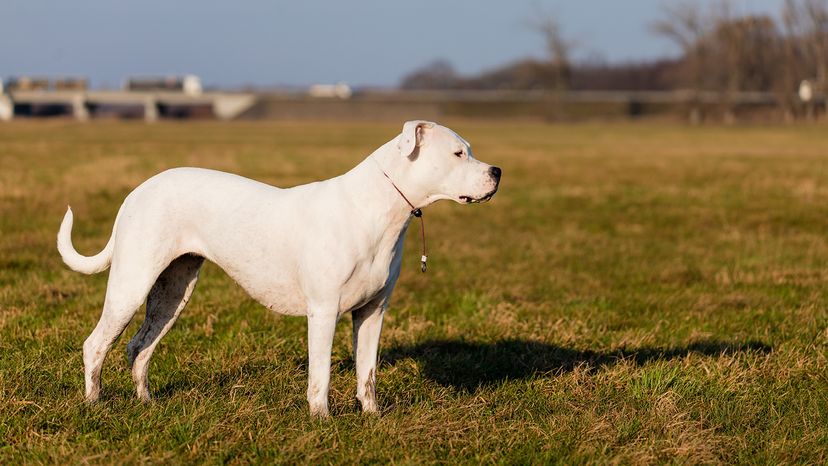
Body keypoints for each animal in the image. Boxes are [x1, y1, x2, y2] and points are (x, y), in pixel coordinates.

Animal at [58, 120, 502, 416]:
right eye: (458, 153)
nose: (497, 172)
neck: (378, 207)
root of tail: (137, 191)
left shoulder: (373, 312)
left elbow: (368, 371)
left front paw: (373, 417)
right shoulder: (323, 312)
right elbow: (321, 374)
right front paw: (322, 420)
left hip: (172, 292)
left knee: (140, 347)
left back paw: (147, 403)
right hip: (131, 284)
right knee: (96, 345)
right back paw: (94, 404)